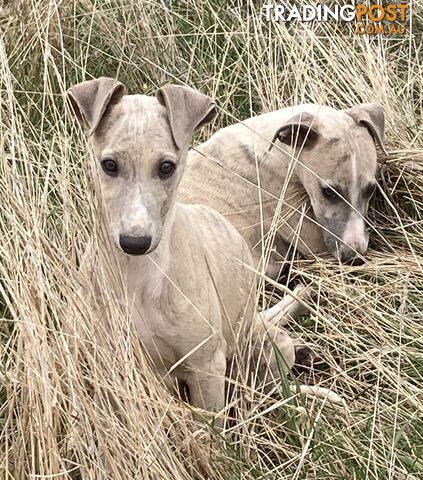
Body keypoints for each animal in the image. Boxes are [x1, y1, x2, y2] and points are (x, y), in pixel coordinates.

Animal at [68, 79, 314, 424]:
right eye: (109, 165)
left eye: (166, 167)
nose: (135, 242)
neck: (140, 277)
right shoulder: (124, 367)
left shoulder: (206, 368)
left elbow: (211, 431)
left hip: (262, 345)